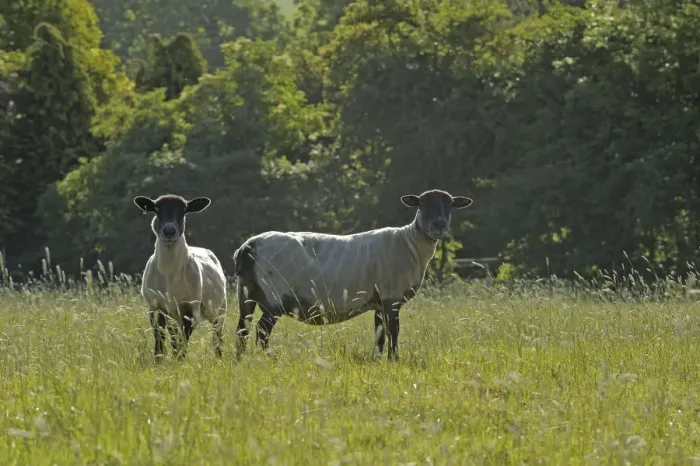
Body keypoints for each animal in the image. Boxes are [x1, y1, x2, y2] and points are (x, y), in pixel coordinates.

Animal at [134, 194, 227, 362]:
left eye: (184, 210)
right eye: (156, 209)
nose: (169, 231)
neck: (169, 274)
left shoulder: (188, 309)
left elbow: (183, 343)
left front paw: (179, 362)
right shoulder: (155, 307)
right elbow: (159, 341)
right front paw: (158, 362)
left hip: (219, 310)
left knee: (217, 337)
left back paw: (219, 358)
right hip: (172, 314)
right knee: (172, 337)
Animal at [232, 189, 473, 360]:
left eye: (450, 204)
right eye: (422, 204)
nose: (439, 225)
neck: (409, 243)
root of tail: (248, 247)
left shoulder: (379, 302)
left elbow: (380, 333)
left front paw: (379, 360)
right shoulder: (391, 296)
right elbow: (393, 330)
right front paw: (394, 359)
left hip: (246, 293)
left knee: (242, 329)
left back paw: (240, 360)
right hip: (275, 295)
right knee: (262, 330)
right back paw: (267, 358)